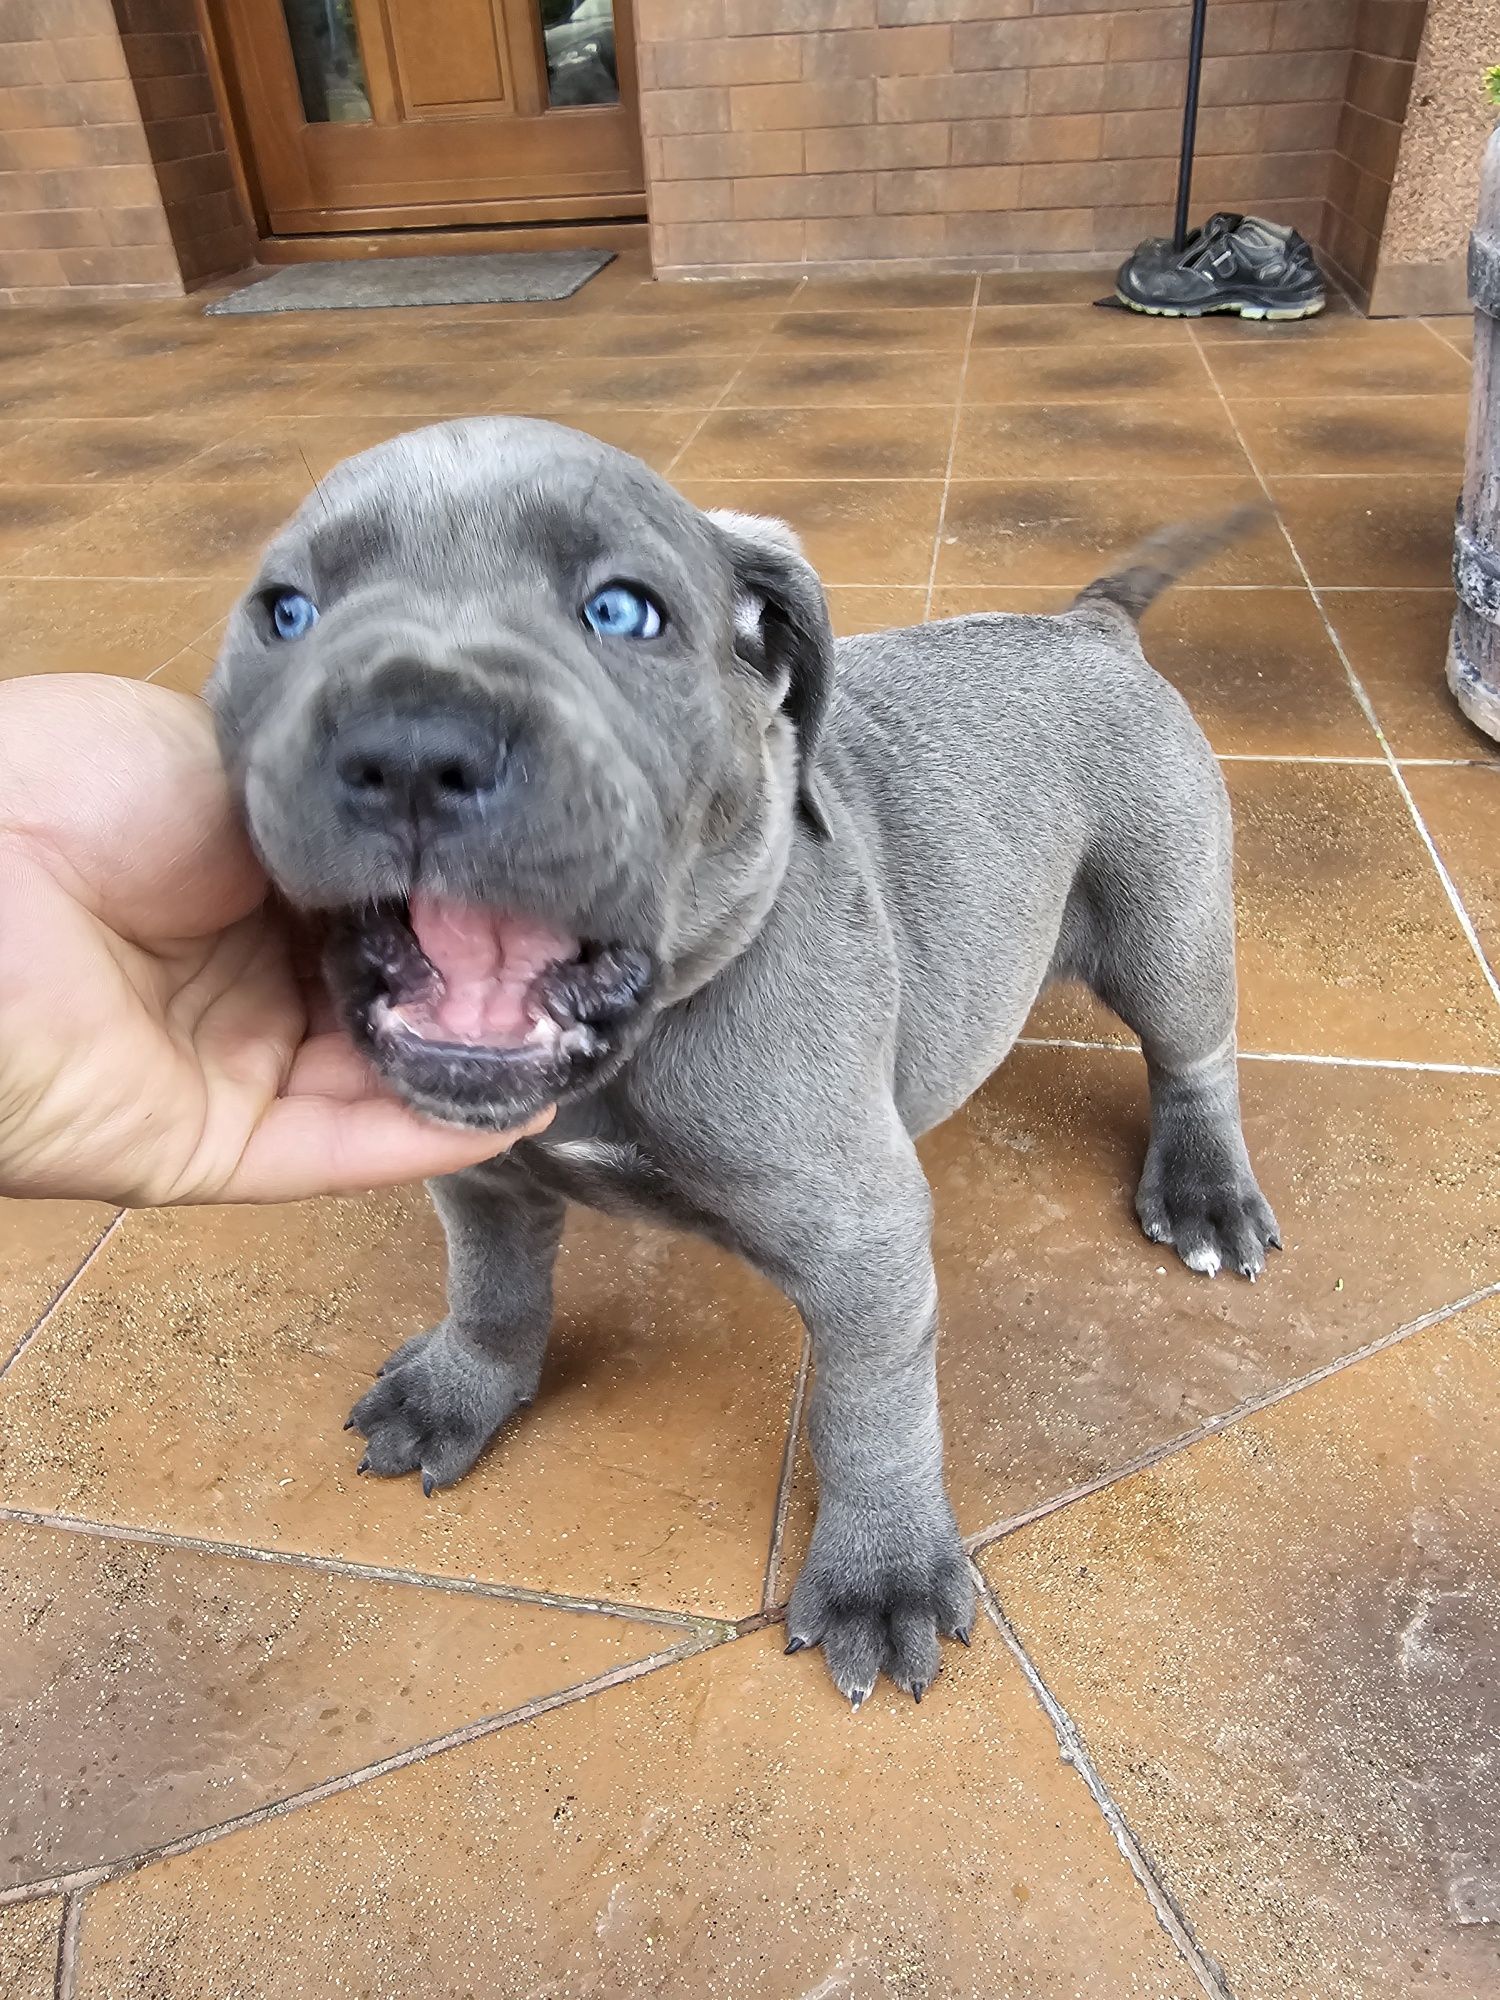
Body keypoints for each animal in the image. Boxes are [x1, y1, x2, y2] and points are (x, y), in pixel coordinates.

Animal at [212, 418, 1288, 1704]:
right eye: (286, 614)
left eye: (623, 611)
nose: (412, 747)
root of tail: (1087, 626)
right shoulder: (481, 1178)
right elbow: (492, 1288)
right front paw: (457, 1390)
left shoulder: (865, 1243)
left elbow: (872, 1411)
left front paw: (881, 1574)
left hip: (1168, 920)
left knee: (1194, 1053)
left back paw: (1206, 1190)